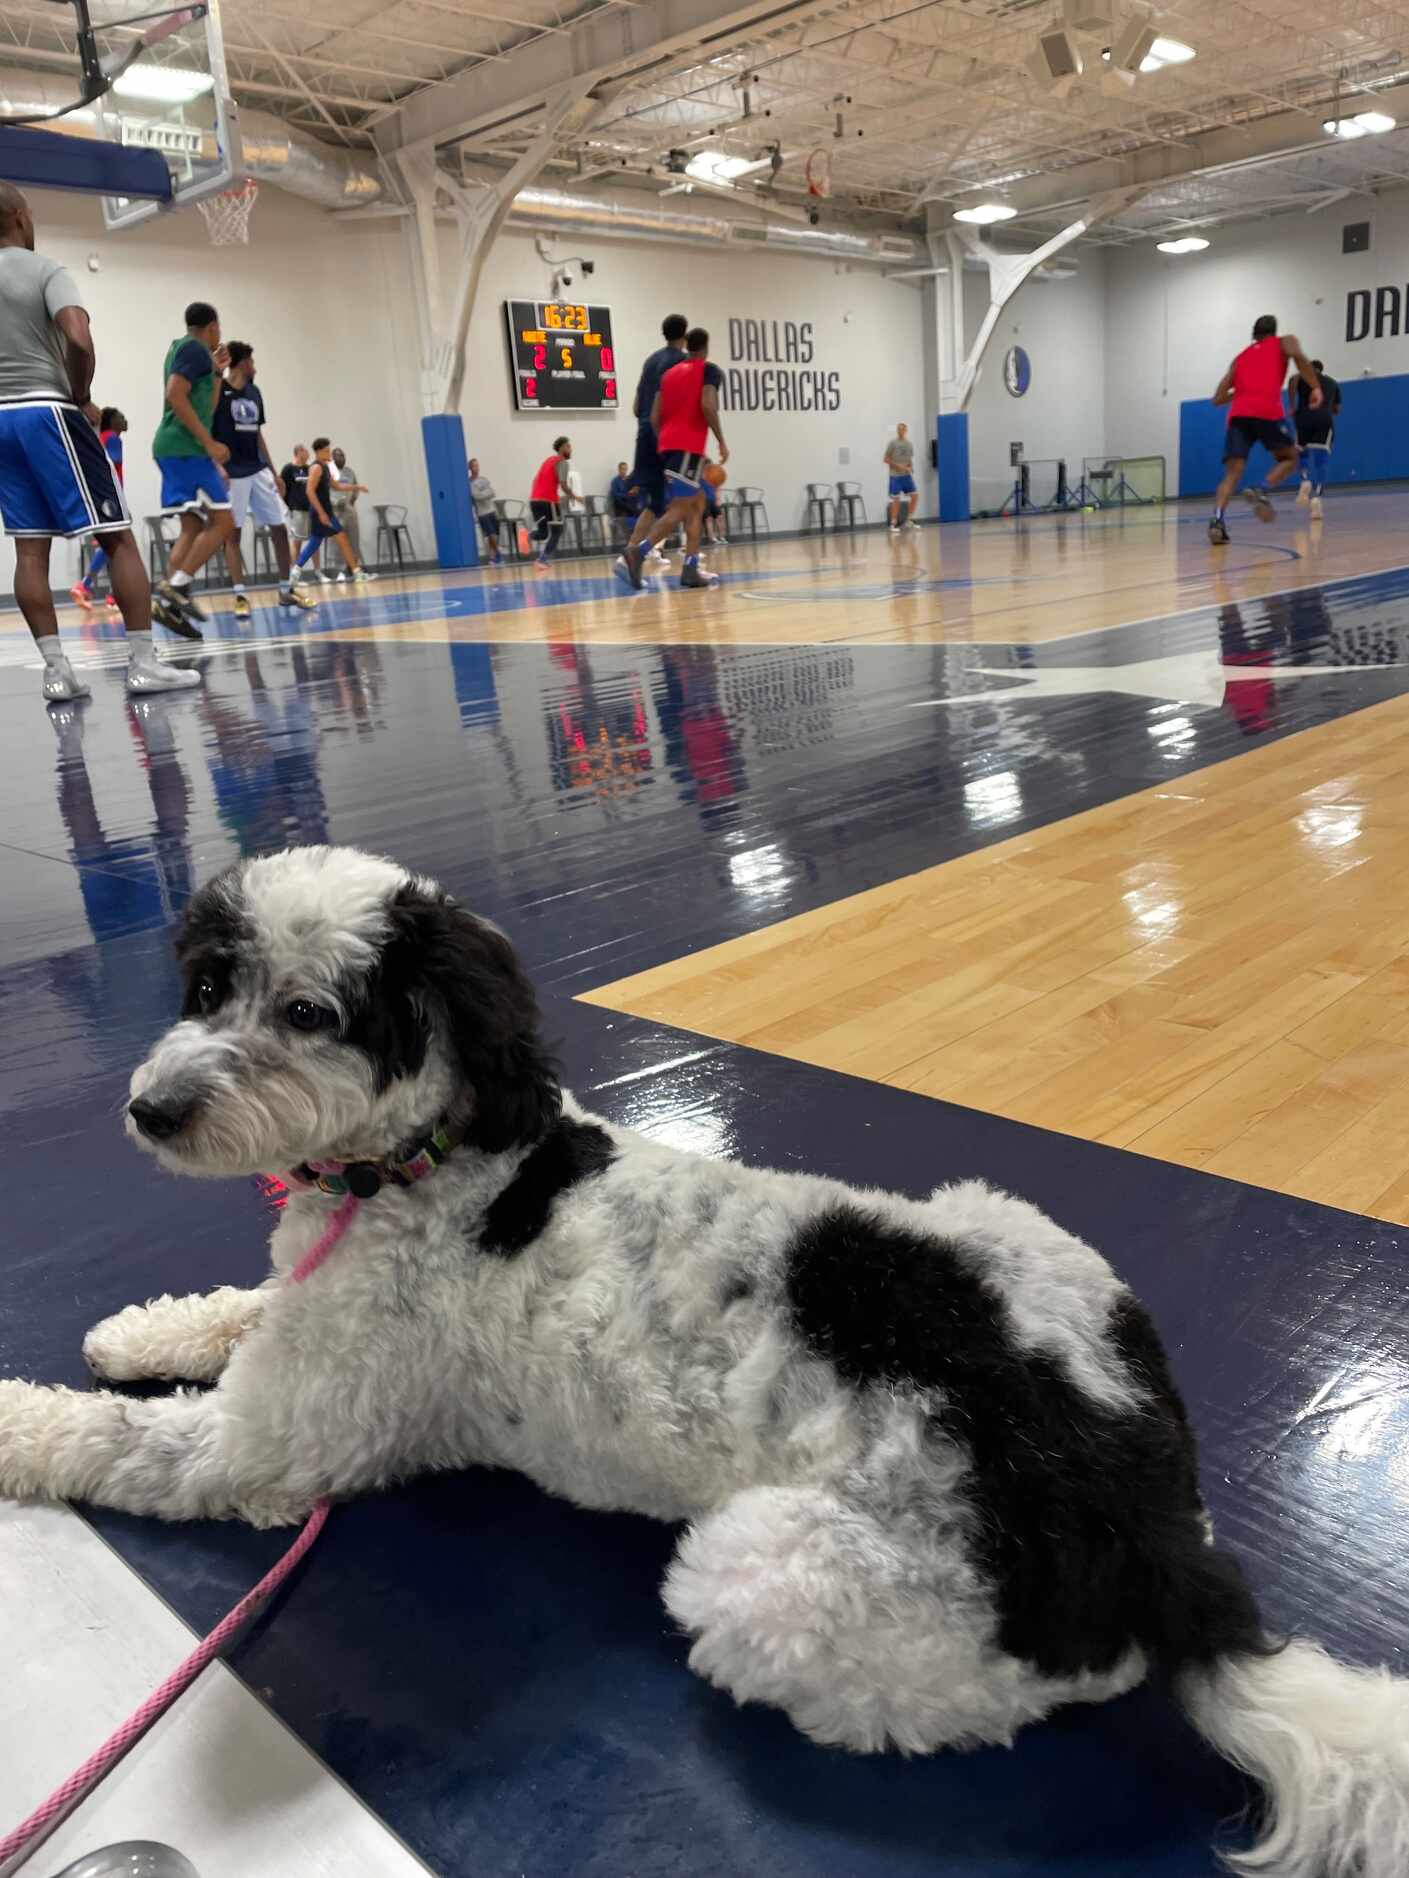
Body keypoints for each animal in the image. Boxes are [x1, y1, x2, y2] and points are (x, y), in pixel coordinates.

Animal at [2, 852, 1409, 1878]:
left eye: (308, 1013)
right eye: (204, 990)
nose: (149, 1109)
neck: (425, 1170)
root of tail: (1161, 1543)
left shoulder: (274, 1444)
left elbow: (117, 1438)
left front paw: (20, 1421)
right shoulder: (298, 1326)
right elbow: (229, 1312)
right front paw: (140, 1332)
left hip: (761, 1576)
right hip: (1010, 1227)